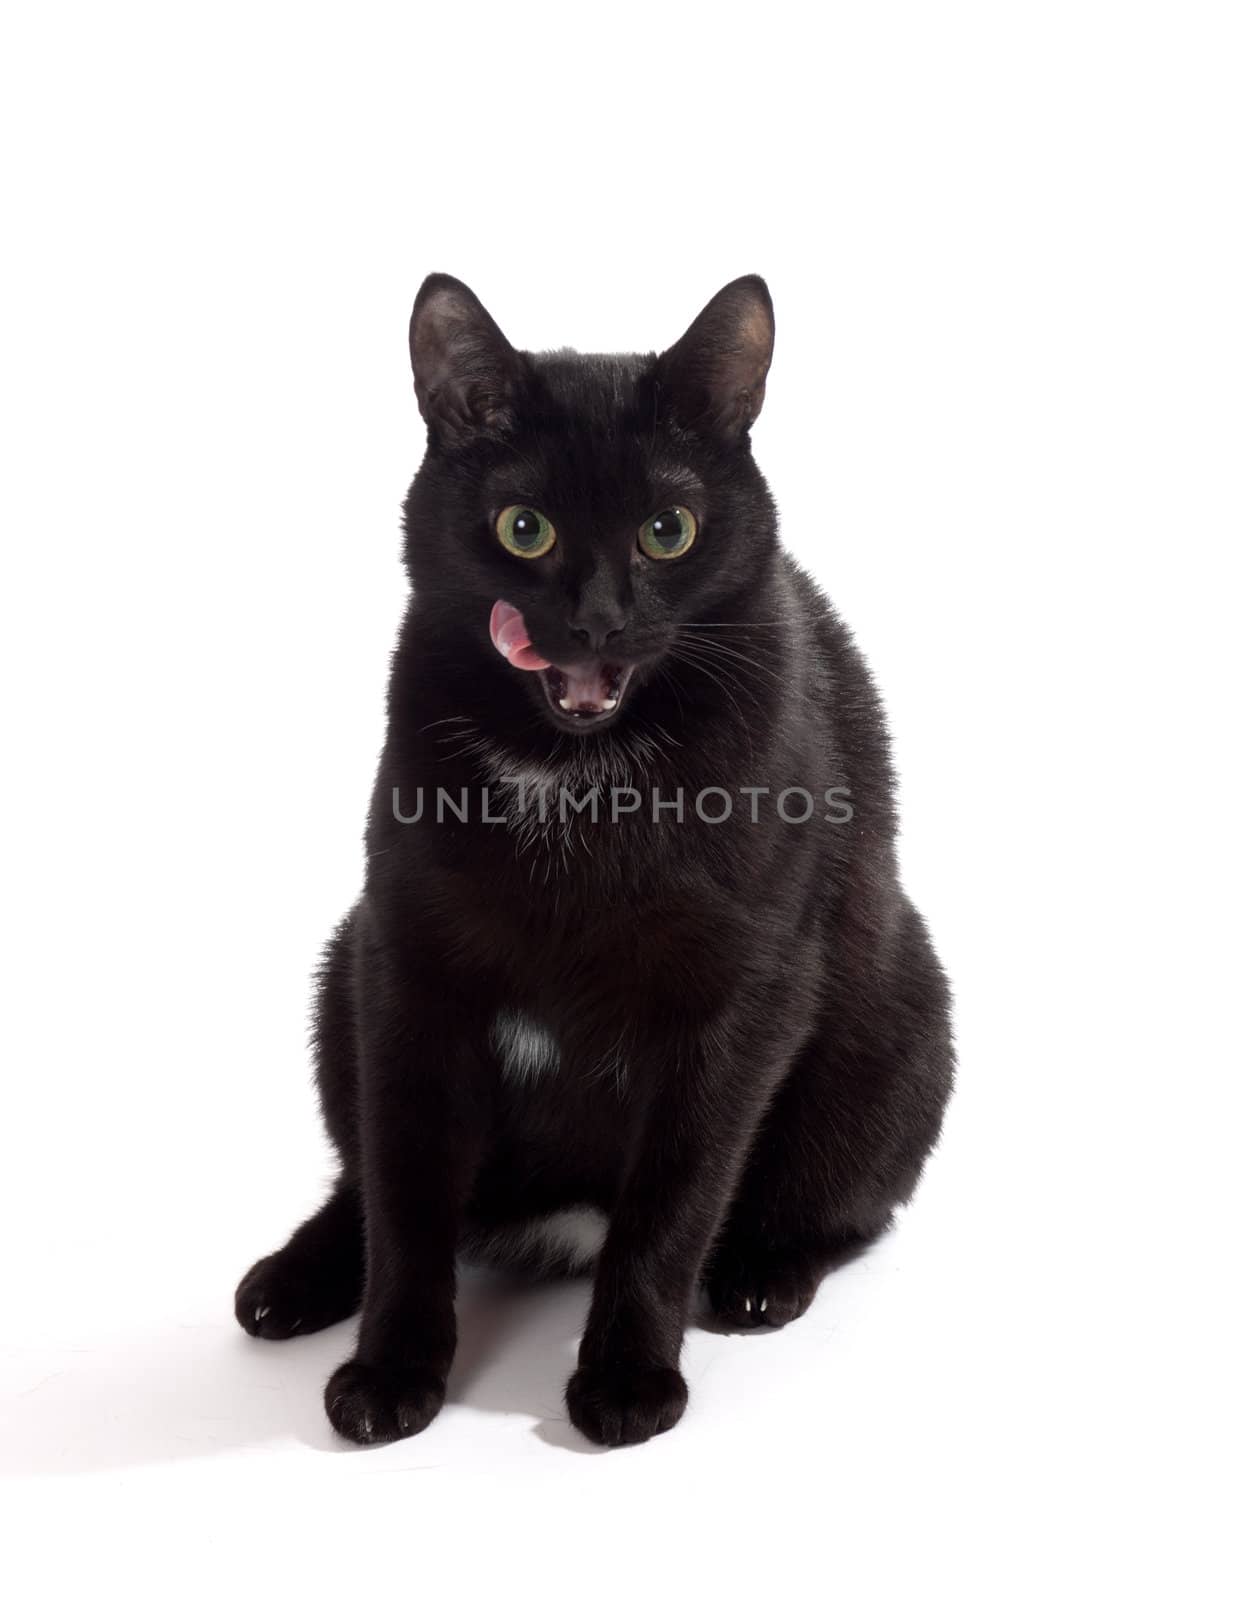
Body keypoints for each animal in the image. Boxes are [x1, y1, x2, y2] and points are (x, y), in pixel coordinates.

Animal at [235, 275, 959, 1452]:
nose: (596, 620)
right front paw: (390, 1369)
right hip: (341, 967)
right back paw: (295, 1278)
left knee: (836, 1203)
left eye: (668, 530)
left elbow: (673, 1198)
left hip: (901, 1015)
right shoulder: (406, 962)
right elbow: (405, 1187)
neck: (572, 775)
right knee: (368, 1175)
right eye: (521, 528)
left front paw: (626, 1379)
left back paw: (760, 1275)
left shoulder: (740, 993)